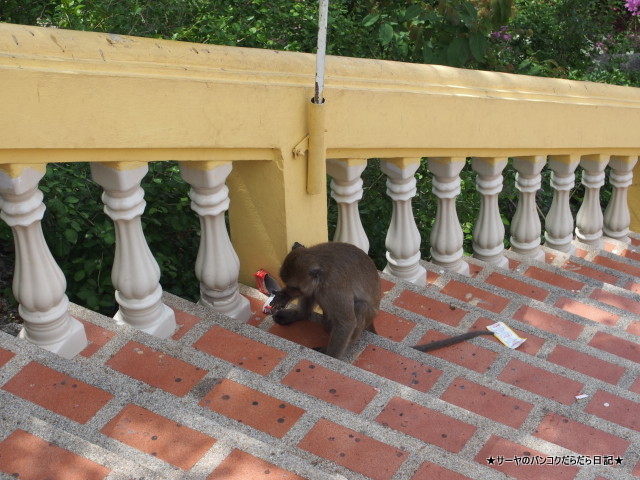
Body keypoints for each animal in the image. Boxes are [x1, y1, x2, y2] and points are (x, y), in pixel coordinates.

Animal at [270, 244, 496, 360]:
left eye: (295, 287)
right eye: (289, 285)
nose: (289, 291)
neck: (320, 263)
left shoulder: (333, 288)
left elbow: (347, 322)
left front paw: (330, 356)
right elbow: (311, 294)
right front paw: (284, 300)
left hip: (362, 314)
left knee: (357, 308)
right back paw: (301, 316)